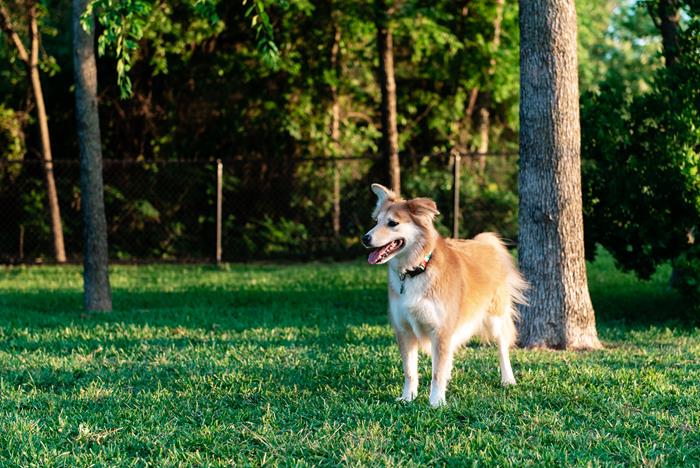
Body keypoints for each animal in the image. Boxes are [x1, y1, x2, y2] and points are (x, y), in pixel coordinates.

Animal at [364, 183, 528, 406]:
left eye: (392, 223)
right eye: (376, 221)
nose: (365, 238)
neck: (416, 270)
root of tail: (485, 243)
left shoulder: (441, 330)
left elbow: (437, 372)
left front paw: (436, 402)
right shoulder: (405, 331)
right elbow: (410, 371)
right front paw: (408, 397)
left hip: (495, 317)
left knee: (502, 347)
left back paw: (507, 379)